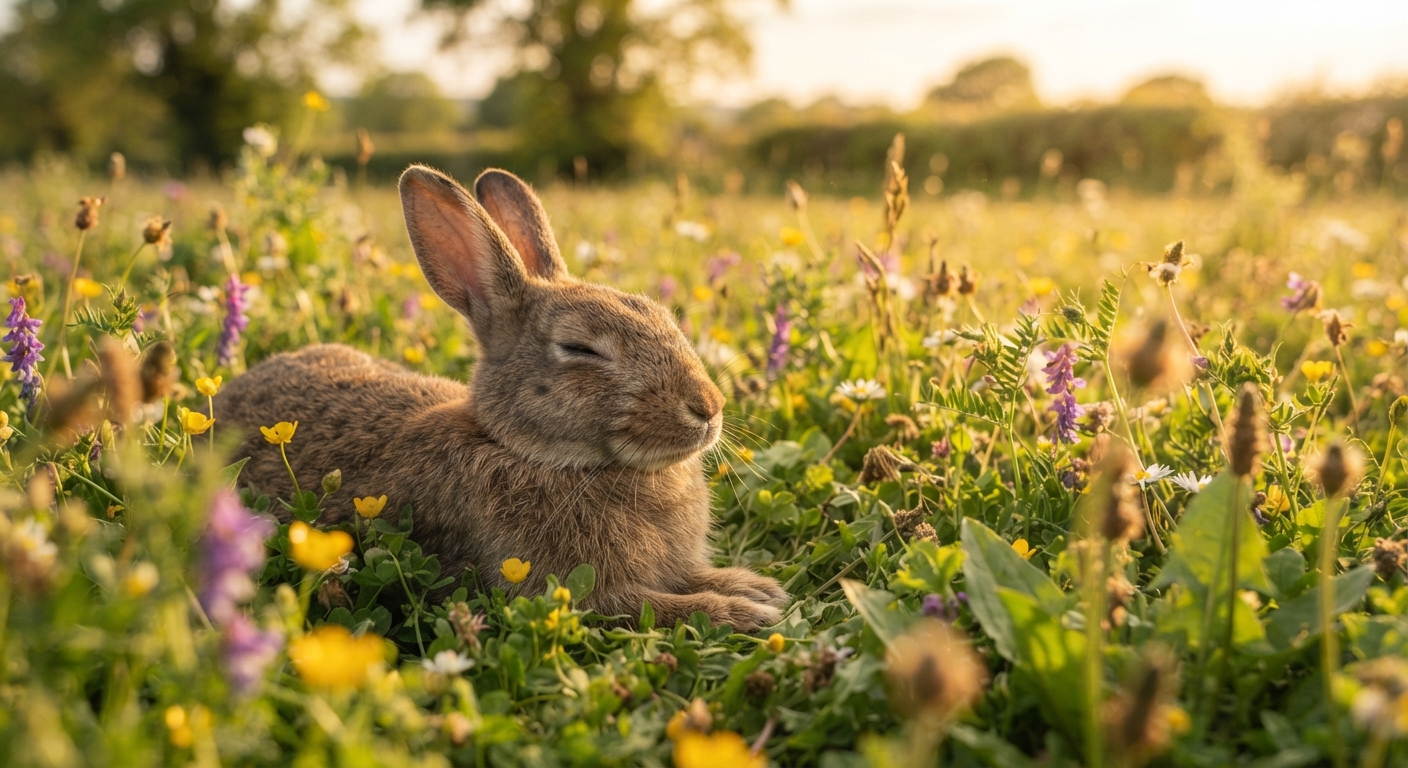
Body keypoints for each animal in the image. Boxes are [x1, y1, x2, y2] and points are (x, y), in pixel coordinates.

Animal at [215, 165, 787, 632]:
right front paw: (750, 612)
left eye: (663, 316)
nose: (708, 406)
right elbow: (659, 607)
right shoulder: (570, 592)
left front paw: (756, 587)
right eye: (580, 348)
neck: (533, 454)